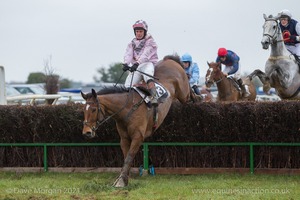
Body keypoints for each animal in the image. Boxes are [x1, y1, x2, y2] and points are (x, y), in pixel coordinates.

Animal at [81, 55, 189, 188]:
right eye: (83, 110)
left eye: (94, 109)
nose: (86, 132)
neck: (128, 108)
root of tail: (169, 60)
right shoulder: (124, 138)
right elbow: (126, 157)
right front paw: (124, 178)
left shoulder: (138, 136)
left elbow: (129, 157)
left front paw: (121, 181)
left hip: (183, 93)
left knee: (189, 94)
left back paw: (197, 95)